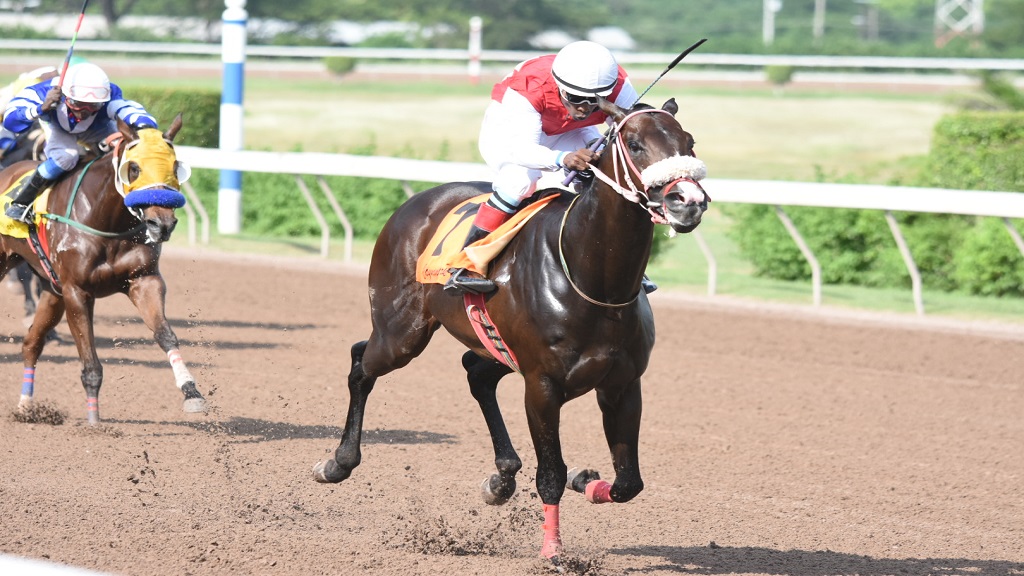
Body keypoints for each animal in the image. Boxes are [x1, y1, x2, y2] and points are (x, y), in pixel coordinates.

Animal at [0, 114, 205, 424]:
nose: (163, 224)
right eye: (134, 168)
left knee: (31, 343)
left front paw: (191, 391)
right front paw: (94, 422)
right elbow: (91, 362)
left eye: (174, 167)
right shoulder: (77, 291)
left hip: (52, 291)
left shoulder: (144, 280)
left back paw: (25, 406)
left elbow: (165, 334)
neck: (105, 220)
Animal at [313, 97, 712, 561]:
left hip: (493, 347)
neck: (593, 279)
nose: (688, 200)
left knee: (476, 373)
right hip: (401, 333)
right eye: (634, 144)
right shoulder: (541, 384)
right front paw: (553, 551)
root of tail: (415, 203)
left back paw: (501, 477)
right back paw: (338, 462)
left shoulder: (623, 384)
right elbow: (550, 474)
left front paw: (584, 480)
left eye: (689, 142)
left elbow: (627, 483)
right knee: (362, 361)